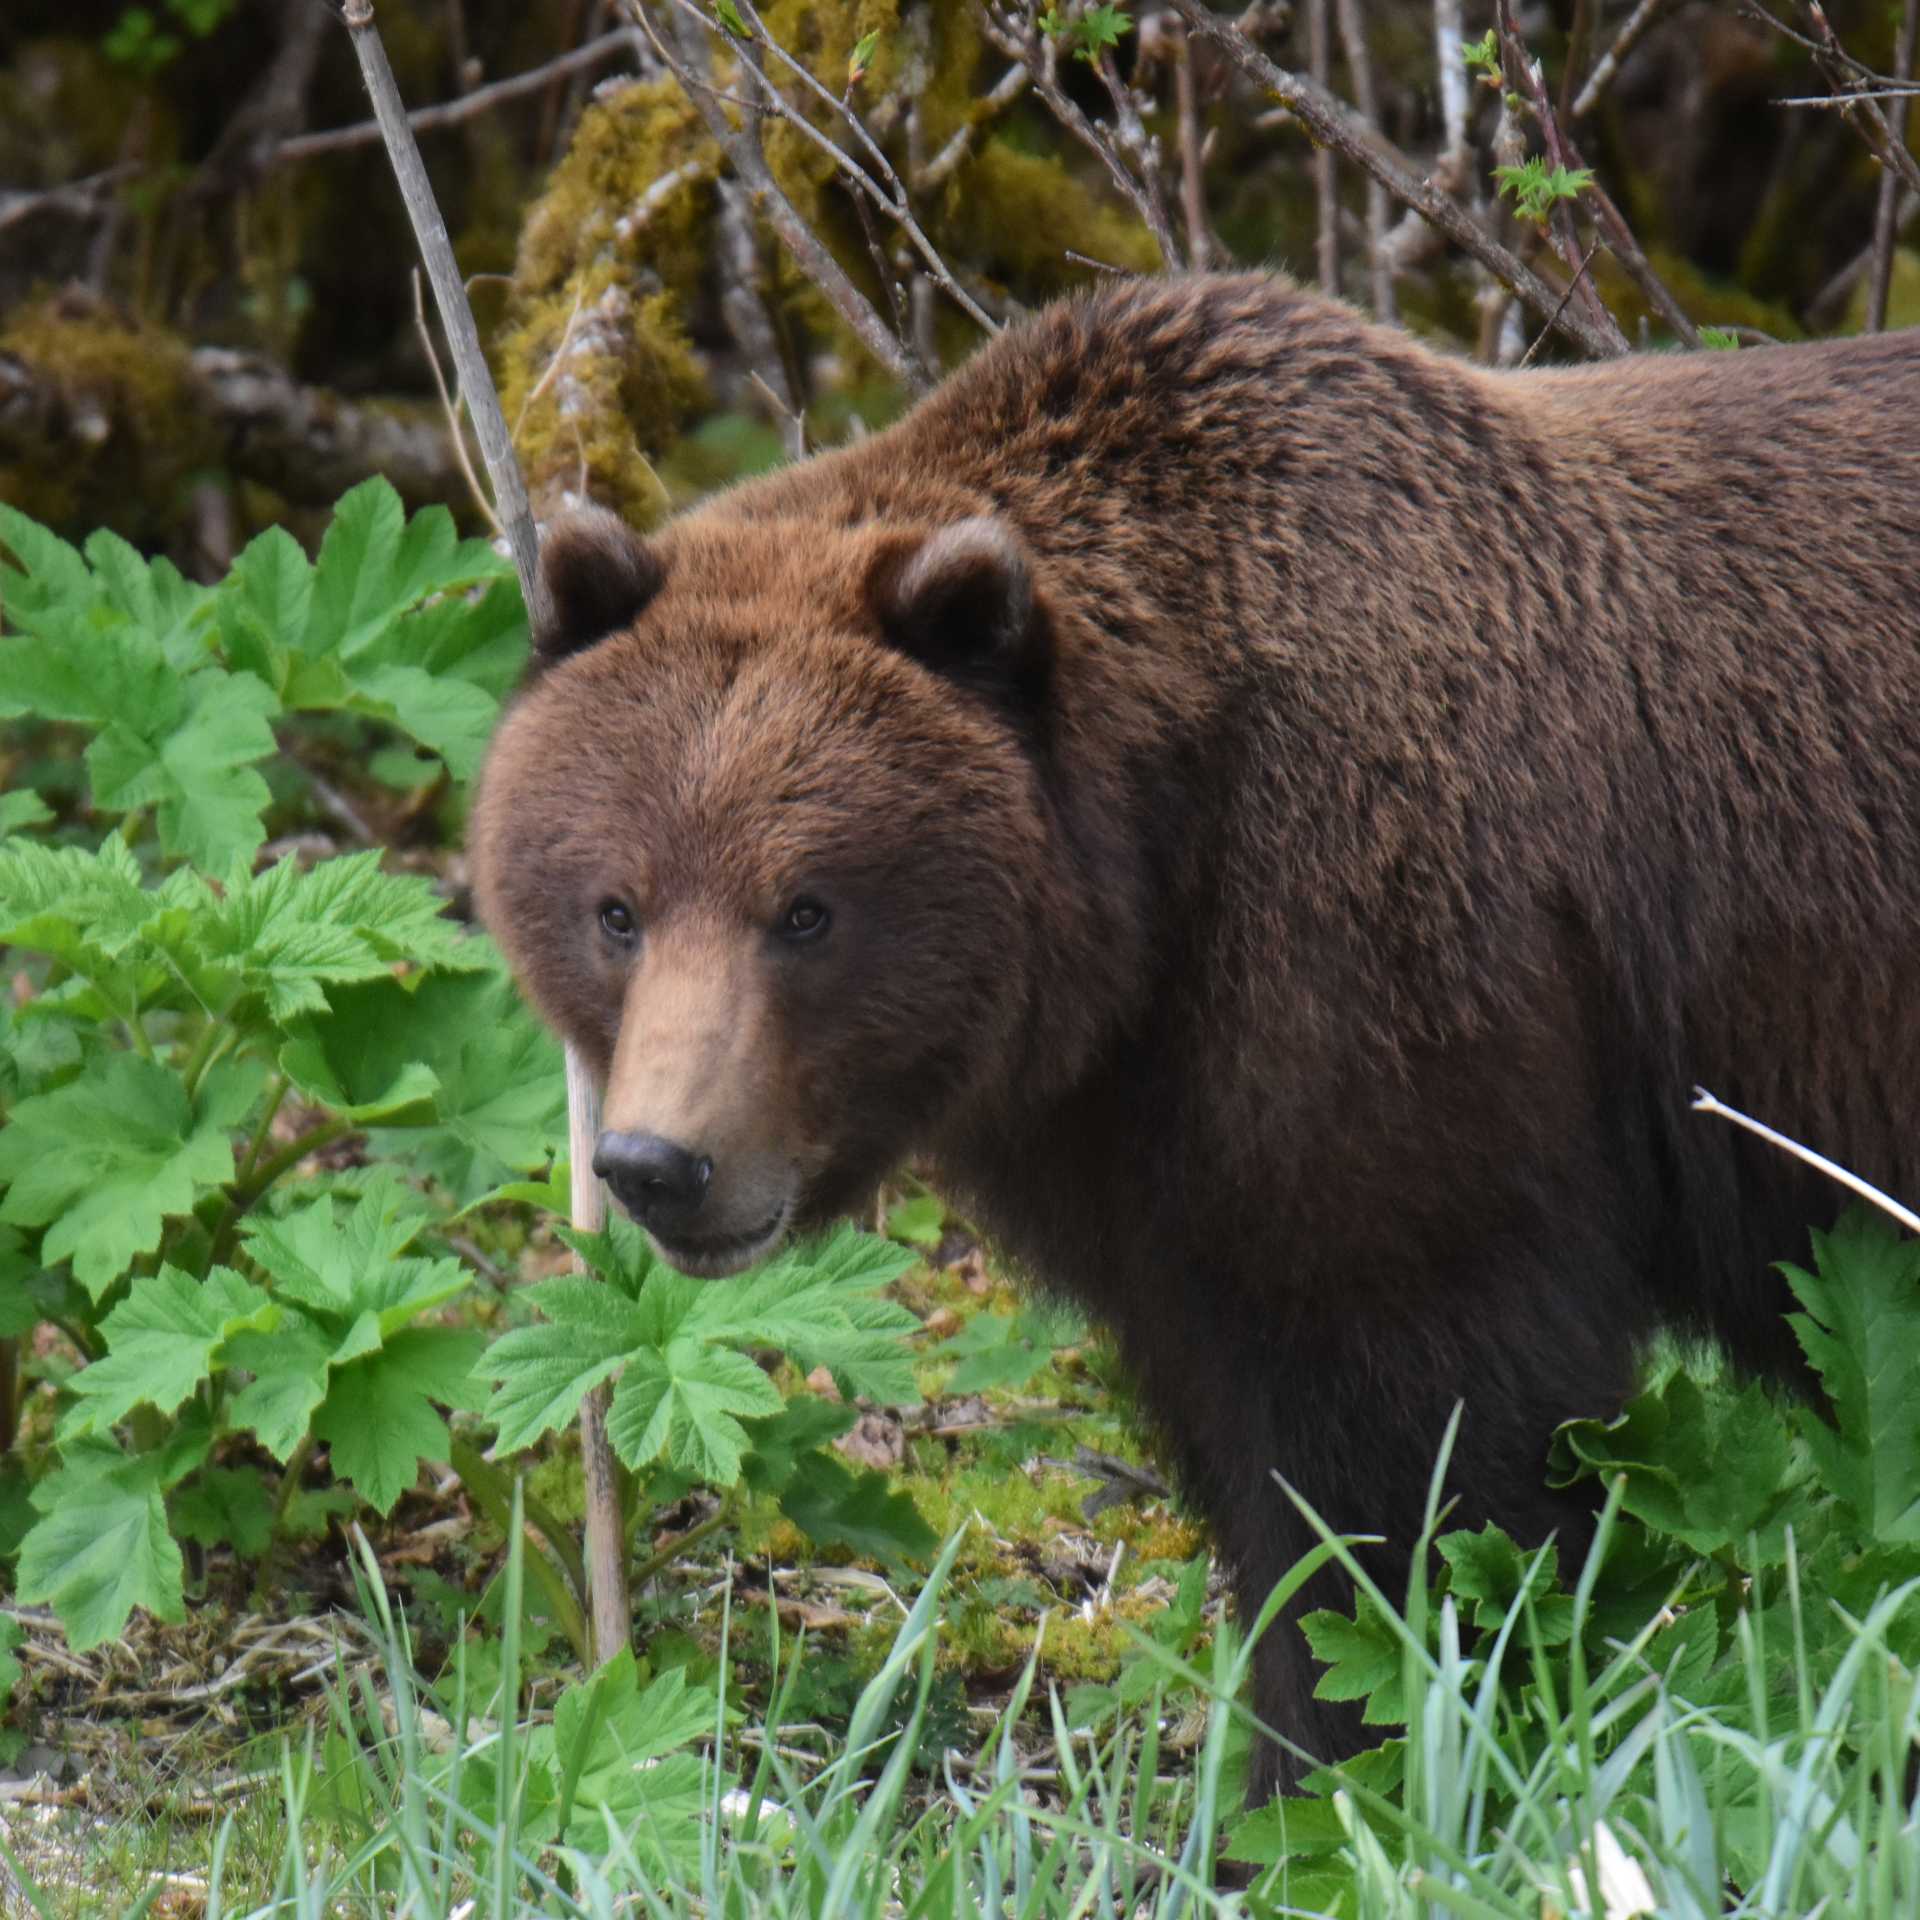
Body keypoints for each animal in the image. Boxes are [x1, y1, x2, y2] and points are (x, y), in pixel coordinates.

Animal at [471, 273, 1920, 1798]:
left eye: (805, 909)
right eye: (617, 907)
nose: (658, 1163)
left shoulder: (1398, 984)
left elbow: (1418, 1455)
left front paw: (1369, 1759)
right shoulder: (1152, 1153)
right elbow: (1255, 1447)